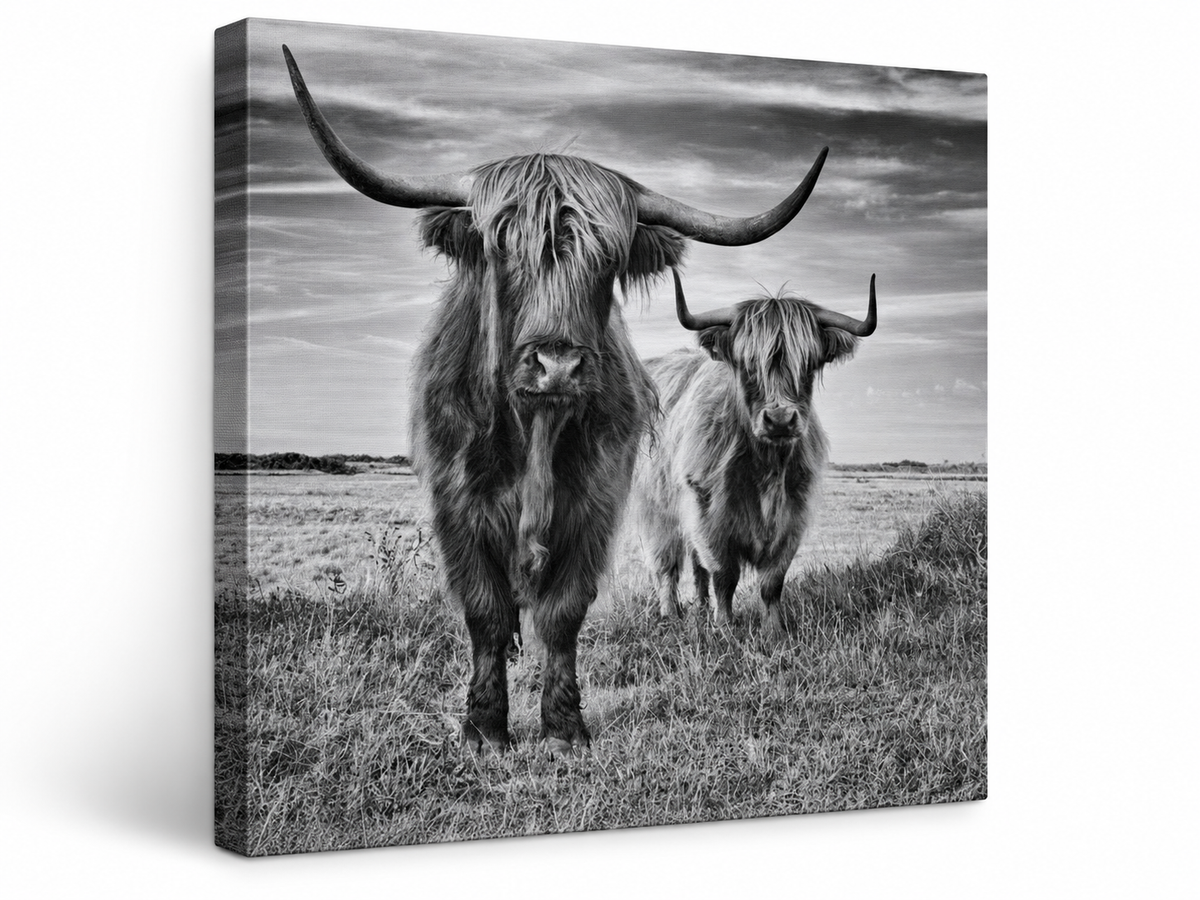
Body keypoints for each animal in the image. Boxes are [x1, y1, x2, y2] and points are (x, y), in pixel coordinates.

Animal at [282, 46, 829, 755]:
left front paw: (564, 727)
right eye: (502, 247)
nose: (558, 365)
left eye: (608, 260)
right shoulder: (458, 506)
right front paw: (485, 728)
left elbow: (564, 612)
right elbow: (486, 611)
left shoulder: (594, 501)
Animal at [634, 270, 877, 634]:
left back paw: (699, 609)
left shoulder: (793, 514)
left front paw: (774, 630)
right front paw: (724, 627)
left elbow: (771, 580)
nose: (780, 420)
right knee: (666, 562)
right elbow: (724, 573)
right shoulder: (708, 512)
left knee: (695, 564)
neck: (766, 466)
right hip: (656, 505)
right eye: (747, 365)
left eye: (808, 365)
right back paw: (670, 613)